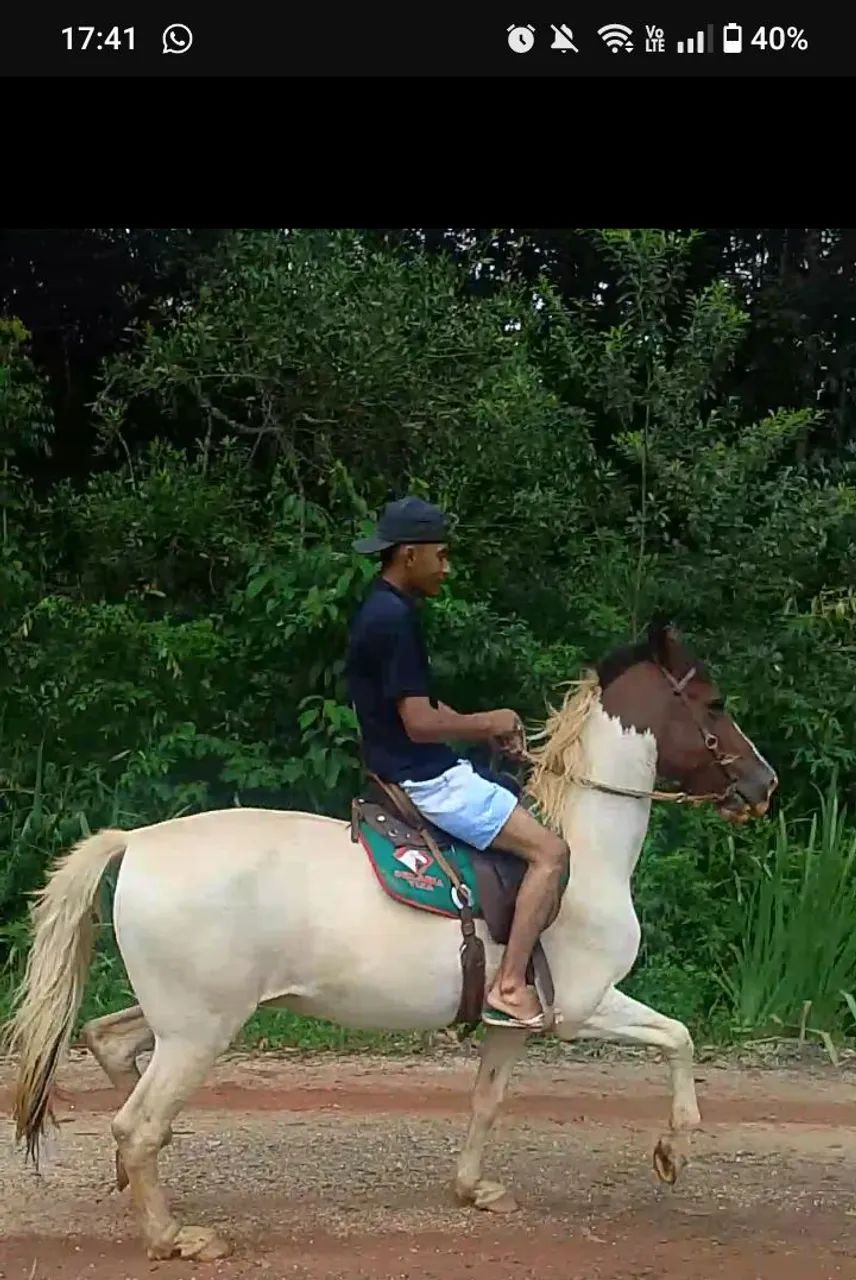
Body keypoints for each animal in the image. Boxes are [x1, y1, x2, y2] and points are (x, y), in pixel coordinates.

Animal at [4, 621, 777, 1262]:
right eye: (713, 704)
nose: (764, 783)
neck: (584, 852)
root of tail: (136, 841)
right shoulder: (584, 1007)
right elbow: (680, 1039)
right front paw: (673, 1150)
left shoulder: (513, 1022)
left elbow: (488, 1100)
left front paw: (473, 1189)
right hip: (201, 1030)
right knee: (137, 1124)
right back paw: (174, 1237)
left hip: (188, 1017)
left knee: (110, 1045)